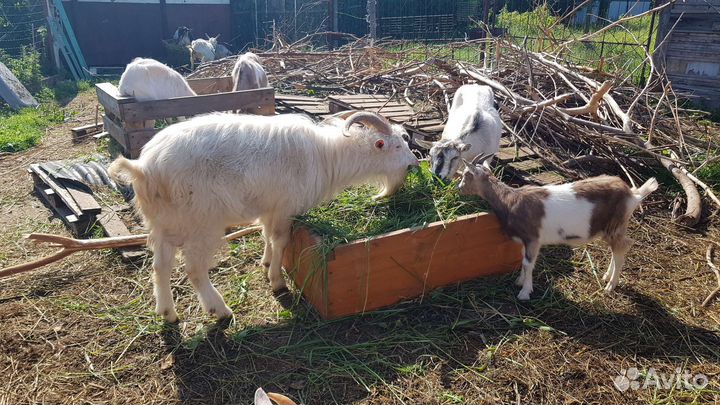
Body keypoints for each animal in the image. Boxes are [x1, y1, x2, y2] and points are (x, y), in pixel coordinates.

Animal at [108, 111, 419, 322]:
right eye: (396, 146)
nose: (414, 164)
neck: (327, 155)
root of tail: (144, 168)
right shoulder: (284, 207)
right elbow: (280, 240)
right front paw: (277, 281)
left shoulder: (269, 208)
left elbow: (267, 236)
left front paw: (266, 262)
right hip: (201, 223)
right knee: (194, 270)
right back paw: (220, 310)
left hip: (162, 223)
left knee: (160, 266)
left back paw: (168, 313)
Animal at [458, 154, 658, 300]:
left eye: (466, 175)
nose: (458, 187)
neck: (511, 200)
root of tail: (632, 194)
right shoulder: (525, 240)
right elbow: (523, 261)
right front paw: (519, 281)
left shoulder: (533, 238)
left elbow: (528, 264)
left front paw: (524, 292)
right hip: (607, 228)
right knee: (616, 250)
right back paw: (606, 277)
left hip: (615, 225)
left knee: (622, 247)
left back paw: (610, 286)